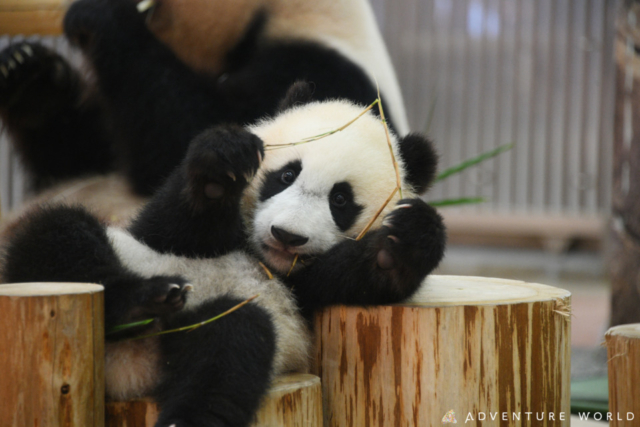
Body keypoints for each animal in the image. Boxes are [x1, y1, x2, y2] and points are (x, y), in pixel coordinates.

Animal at [1, 81, 444, 427]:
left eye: (340, 200)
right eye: (285, 175)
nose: (286, 235)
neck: (263, 260)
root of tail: (127, 373)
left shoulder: (308, 293)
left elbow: (362, 277)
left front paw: (407, 238)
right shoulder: (165, 234)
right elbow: (173, 226)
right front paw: (220, 168)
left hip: (224, 332)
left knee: (229, 348)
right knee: (56, 234)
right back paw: (139, 300)